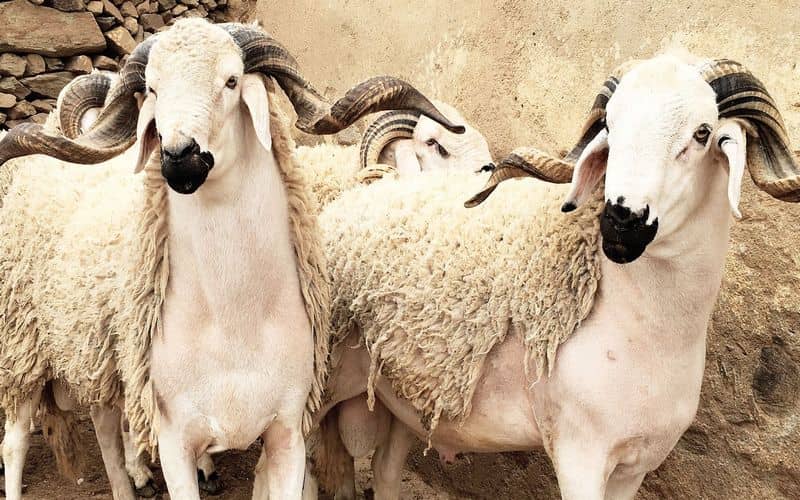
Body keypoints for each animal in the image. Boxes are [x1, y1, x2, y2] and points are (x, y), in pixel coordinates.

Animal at [0, 19, 463, 499]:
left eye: (231, 80)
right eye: (153, 88)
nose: (178, 157)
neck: (234, 323)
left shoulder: (288, 434)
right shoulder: (174, 440)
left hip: (93, 347)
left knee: (105, 420)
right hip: (22, 340)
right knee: (19, 440)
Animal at [311, 52, 800, 500]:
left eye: (702, 134)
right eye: (611, 127)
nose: (621, 219)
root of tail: (371, 186)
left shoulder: (635, 464)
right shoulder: (580, 453)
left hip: (410, 395)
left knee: (386, 472)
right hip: (326, 376)